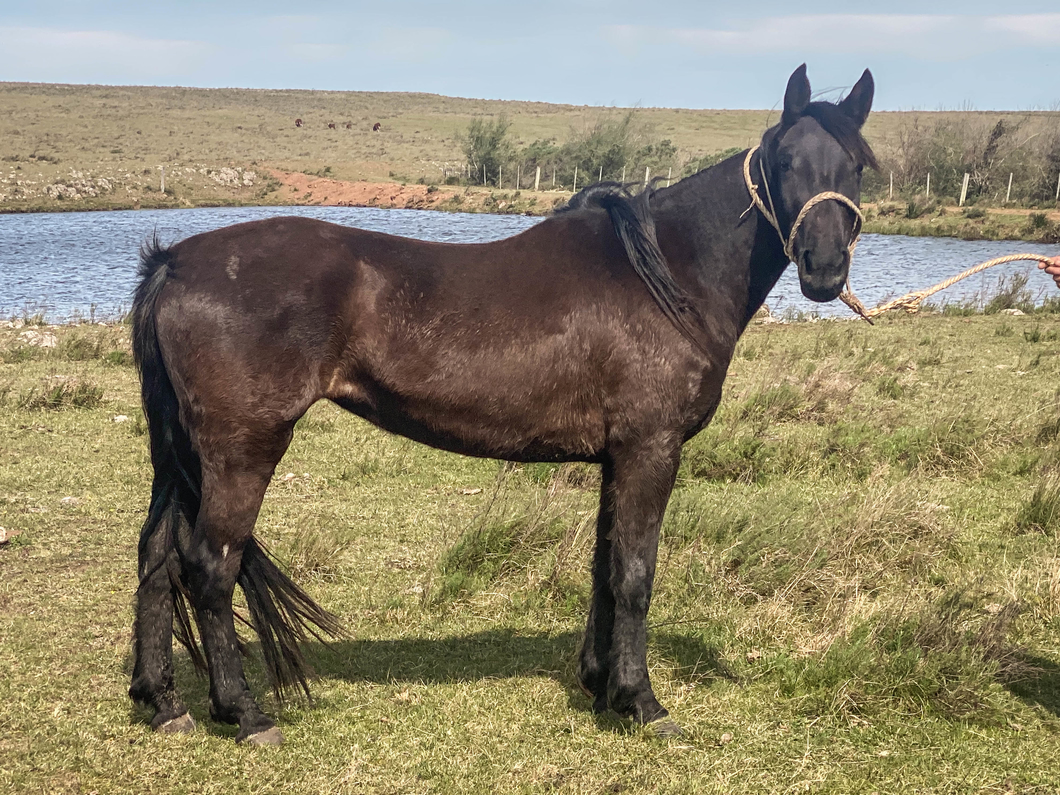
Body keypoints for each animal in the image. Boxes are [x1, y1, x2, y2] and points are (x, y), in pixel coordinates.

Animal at [128, 65, 873, 746]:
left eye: (858, 166)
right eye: (785, 161)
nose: (824, 269)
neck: (665, 276)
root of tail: (175, 263)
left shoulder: (616, 457)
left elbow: (604, 567)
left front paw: (600, 684)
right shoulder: (650, 449)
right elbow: (636, 573)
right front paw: (642, 702)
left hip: (184, 455)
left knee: (158, 558)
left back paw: (164, 703)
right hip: (242, 449)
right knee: (209, 566)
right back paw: (245, 713)